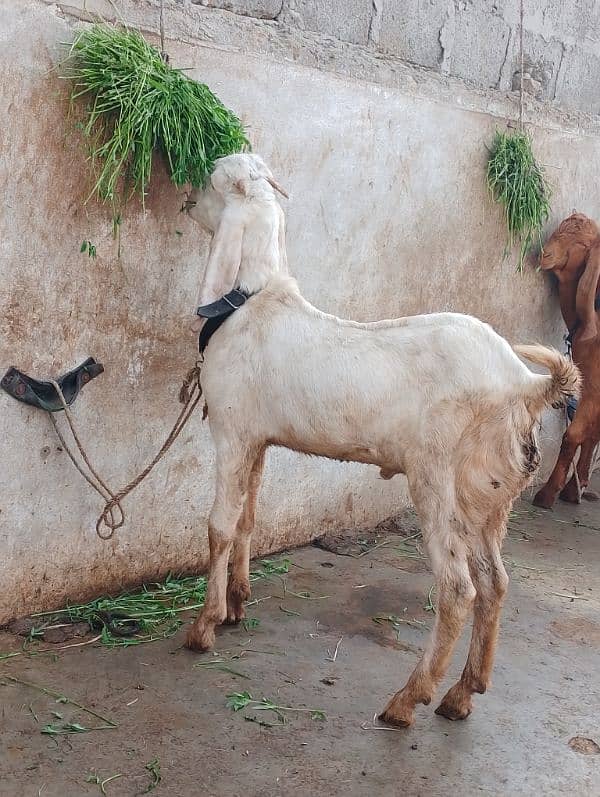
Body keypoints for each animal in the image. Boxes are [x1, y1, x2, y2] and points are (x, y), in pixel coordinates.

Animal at [184, 152, 580, 724]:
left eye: (214, 178)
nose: (187, 195)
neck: (252, 301)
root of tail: (523, 384)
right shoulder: (258, 440)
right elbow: (247, 521)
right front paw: (237, 603)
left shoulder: (232, 431)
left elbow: (218, 525)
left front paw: (204, 626)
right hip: (488, 492)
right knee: (495, 582)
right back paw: (462, 694)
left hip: (437, 481)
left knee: (458, 589)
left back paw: (407, 700)